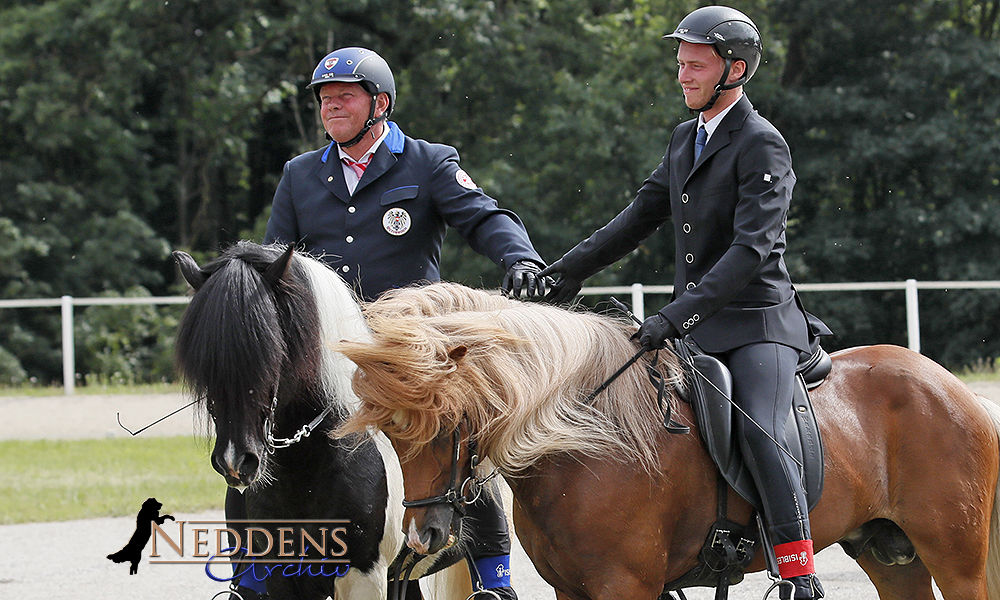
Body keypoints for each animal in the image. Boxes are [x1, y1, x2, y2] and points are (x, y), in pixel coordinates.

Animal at [173, 241, 468, 596]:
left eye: (271, 350)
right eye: (204, 360)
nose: (235, 461)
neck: (306, 473)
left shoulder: (364, 576)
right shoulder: (282, 574)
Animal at [338, 282, 1000, 600]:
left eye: (448, 422)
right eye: (391, 431)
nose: (424, 535)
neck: (587, 441)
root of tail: (956, 389)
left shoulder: (624, 587)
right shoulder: (570, 591)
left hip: (954, 558)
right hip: (891, 557)